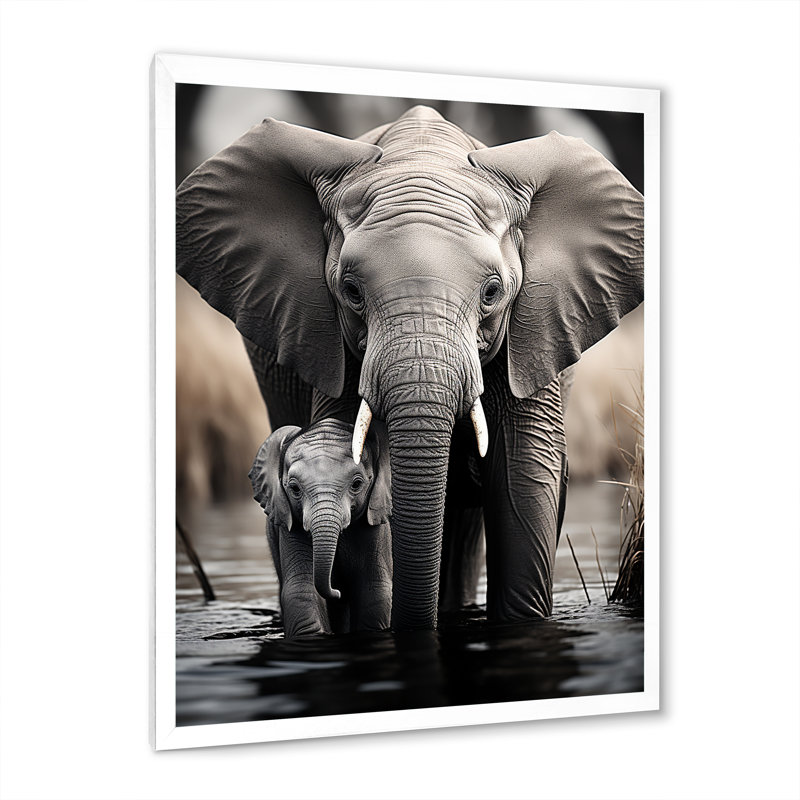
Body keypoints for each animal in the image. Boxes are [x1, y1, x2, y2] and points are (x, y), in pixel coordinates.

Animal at [250, 418, 392, 637]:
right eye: (294, 488)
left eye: (357, 484)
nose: (337, 591)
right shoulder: (291, 524)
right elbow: (301, 590)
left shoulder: (374, 520)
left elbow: (374, 589)